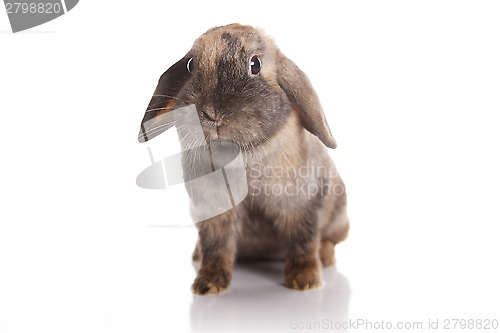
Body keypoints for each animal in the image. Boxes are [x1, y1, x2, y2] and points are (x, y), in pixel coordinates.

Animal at [137, 22, 348, 294]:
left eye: (255, 64)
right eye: (191, 65)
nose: (212, 114)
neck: (240, 159)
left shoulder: (301, 206)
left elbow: (303, 242)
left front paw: (306, 281)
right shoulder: (213, 213)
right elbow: (216, 247)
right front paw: (207, 285)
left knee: (328, 241)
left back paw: (325, 257)